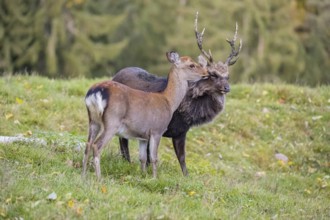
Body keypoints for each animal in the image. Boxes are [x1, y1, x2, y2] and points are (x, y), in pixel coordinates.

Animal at [82, 51, 209, 179]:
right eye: (192, 65)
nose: (206, 73)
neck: (168, 101)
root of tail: (95, 92)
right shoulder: (157, 130)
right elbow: (154, 158)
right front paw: (154, 178)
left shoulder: (142, 135)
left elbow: (142, 158)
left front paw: (143, 176)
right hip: (112, 122)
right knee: (96, 145)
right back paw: (99, 178)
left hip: (93, 120)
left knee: (88, 144)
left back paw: (84, 174)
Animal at [112, 12, 241, 177]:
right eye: (213, 74)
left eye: (228, 76)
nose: (227, 88)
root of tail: (116, 74)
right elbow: (150, 156)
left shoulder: (181, 132)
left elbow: (182, 159)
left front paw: (186, 176)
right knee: (123, 142)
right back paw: (126, 162)